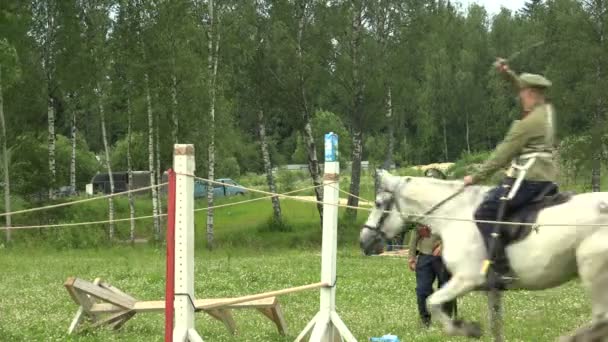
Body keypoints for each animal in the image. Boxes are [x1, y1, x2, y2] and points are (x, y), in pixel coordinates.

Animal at [358, 171, 608, 342]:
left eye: (378, 204)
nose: (364, 240)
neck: (453, 215)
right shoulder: (493, 290)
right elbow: (495, 324)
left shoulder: (466, 280)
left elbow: (433, 302)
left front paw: (466, 328)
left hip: (593, 270)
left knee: (600, 320)